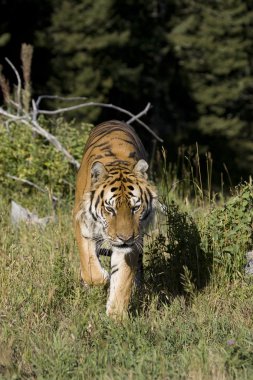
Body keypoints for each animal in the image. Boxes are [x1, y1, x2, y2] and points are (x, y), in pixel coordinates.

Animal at [73, 121, 157, 318]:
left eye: (135, 207)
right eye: (110, 209)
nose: (125, 238)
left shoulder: (132, 243)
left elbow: (123, 278)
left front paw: (116, 316)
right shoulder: (82, 225)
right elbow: (91, 269)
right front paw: (102, 278)